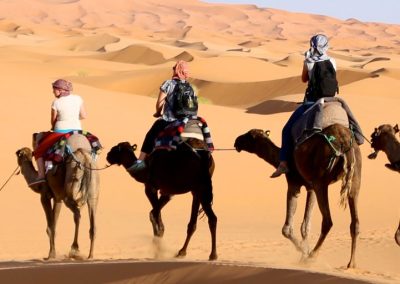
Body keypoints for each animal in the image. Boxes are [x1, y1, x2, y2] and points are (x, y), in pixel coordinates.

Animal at [234, 123, 362, 268]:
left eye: (249, 136)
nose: (237, 141)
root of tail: (343, 141)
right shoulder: (311, 187)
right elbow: (305, 226)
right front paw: (303, 253)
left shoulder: (294, 183)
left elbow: (287, 229)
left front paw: (304, 252)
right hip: (354, 177)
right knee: (355, 222)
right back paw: (351, 263)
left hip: (321, 182)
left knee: (328, 221)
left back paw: (312, 256)